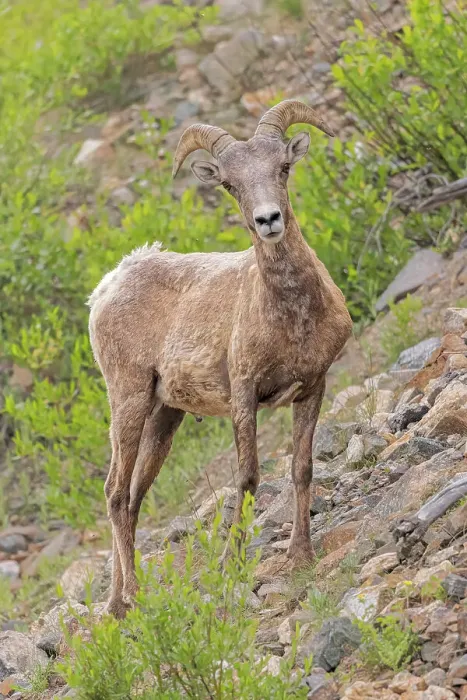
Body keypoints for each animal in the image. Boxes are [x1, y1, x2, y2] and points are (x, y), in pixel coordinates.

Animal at [88, 100, 353, 618]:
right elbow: (247, 477)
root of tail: (110, 283)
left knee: (132, 497)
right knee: (114, 493)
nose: (268, 220)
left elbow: (302, 468)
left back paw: (116, 602)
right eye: (230, 184)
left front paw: (301, 555)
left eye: (283, 167)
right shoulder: (244, 395)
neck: (292, 316)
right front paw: (233, 565)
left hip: (164, 417)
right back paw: (133, 598)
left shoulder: (313, 388)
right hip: (128, 402)